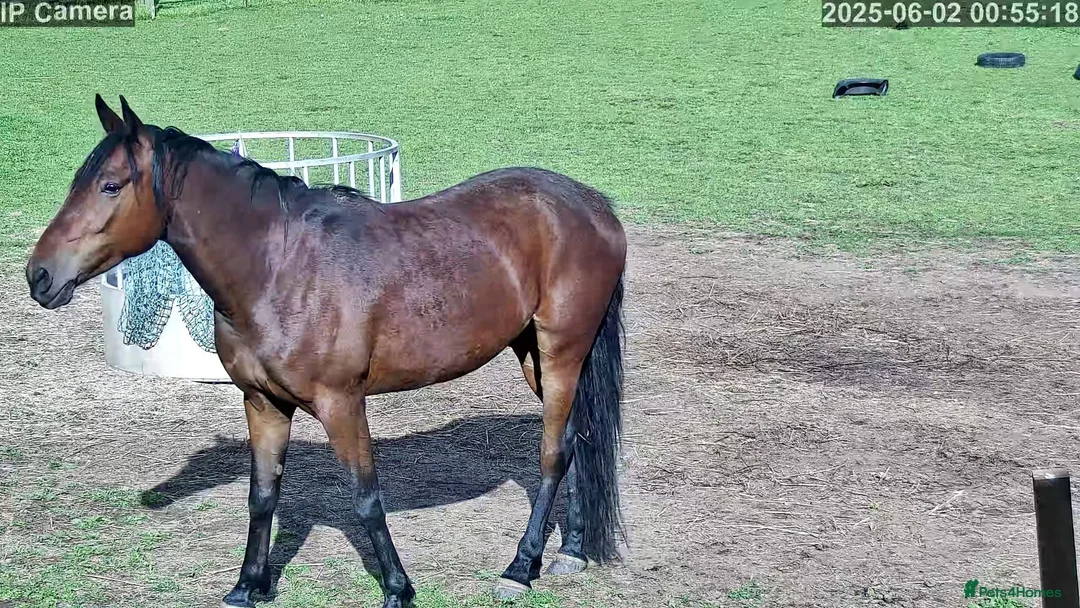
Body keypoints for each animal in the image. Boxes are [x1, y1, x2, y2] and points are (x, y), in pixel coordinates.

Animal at [26, 95, 627, 608]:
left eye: (110, 186)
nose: (39, 276)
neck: (277, 267)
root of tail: (592, 204)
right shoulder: (262, 403)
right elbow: (262, 494)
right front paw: (248, 586)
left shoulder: (342, 404)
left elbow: (365, 496)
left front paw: (397, 589)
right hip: (532, 354)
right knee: (575, 440)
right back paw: (570, 552)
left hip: (561, 351)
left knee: (552, 453)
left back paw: (521, 567)